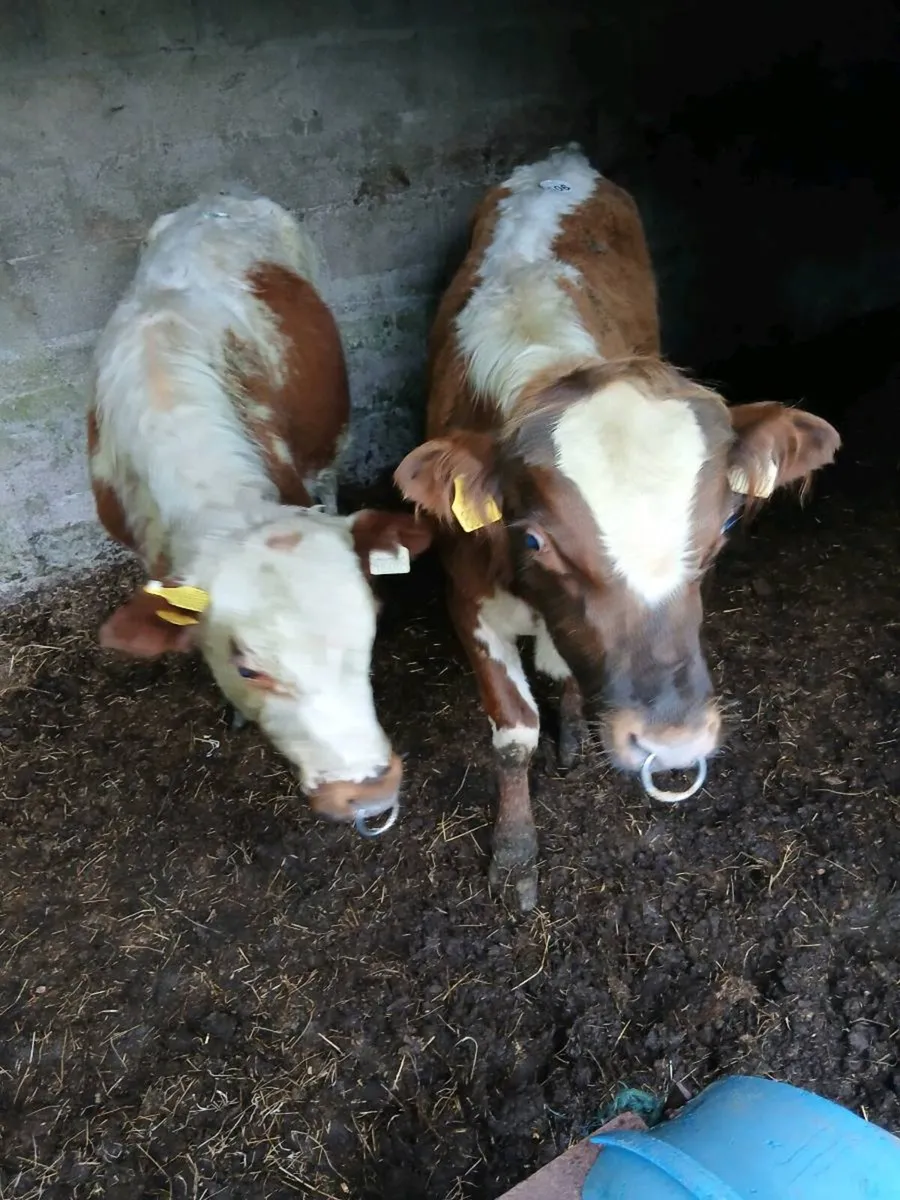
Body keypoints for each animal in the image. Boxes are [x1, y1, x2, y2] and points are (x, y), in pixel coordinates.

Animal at [394, 145, 840, 910]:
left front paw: (574, 727)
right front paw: (515, 852)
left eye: (725, 523)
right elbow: (513, 734)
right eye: (535, 538)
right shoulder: (464, 597)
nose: (675, 743)